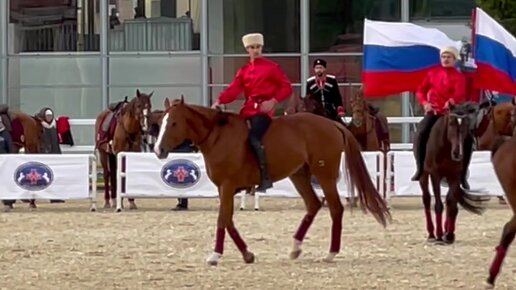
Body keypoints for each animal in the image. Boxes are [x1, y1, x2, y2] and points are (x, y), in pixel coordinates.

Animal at [153, 97, 392, 266]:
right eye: (161, 122)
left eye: (173, 123)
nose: (158, 149)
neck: (217, 136)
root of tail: (333, 124)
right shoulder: (225, 189)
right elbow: (228, 220)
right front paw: (247, 254)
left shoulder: (227, 186)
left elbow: (222, 220)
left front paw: (215, 255)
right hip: (299, 175)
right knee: (313, 205)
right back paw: (295, 248)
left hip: (324, 176)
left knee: (335, 208)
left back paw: (331, 253)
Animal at [414, 102, 490, 245]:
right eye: (450, 123)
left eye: (465, 124)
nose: (457, 153)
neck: (446, 147)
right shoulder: (435, 175)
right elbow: (438, 205)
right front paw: (439, 235)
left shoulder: (455, 176)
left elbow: (452, 205)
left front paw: (448, 234)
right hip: (423, 176)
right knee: (426, 199)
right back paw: (431, 234)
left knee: (448, 201)